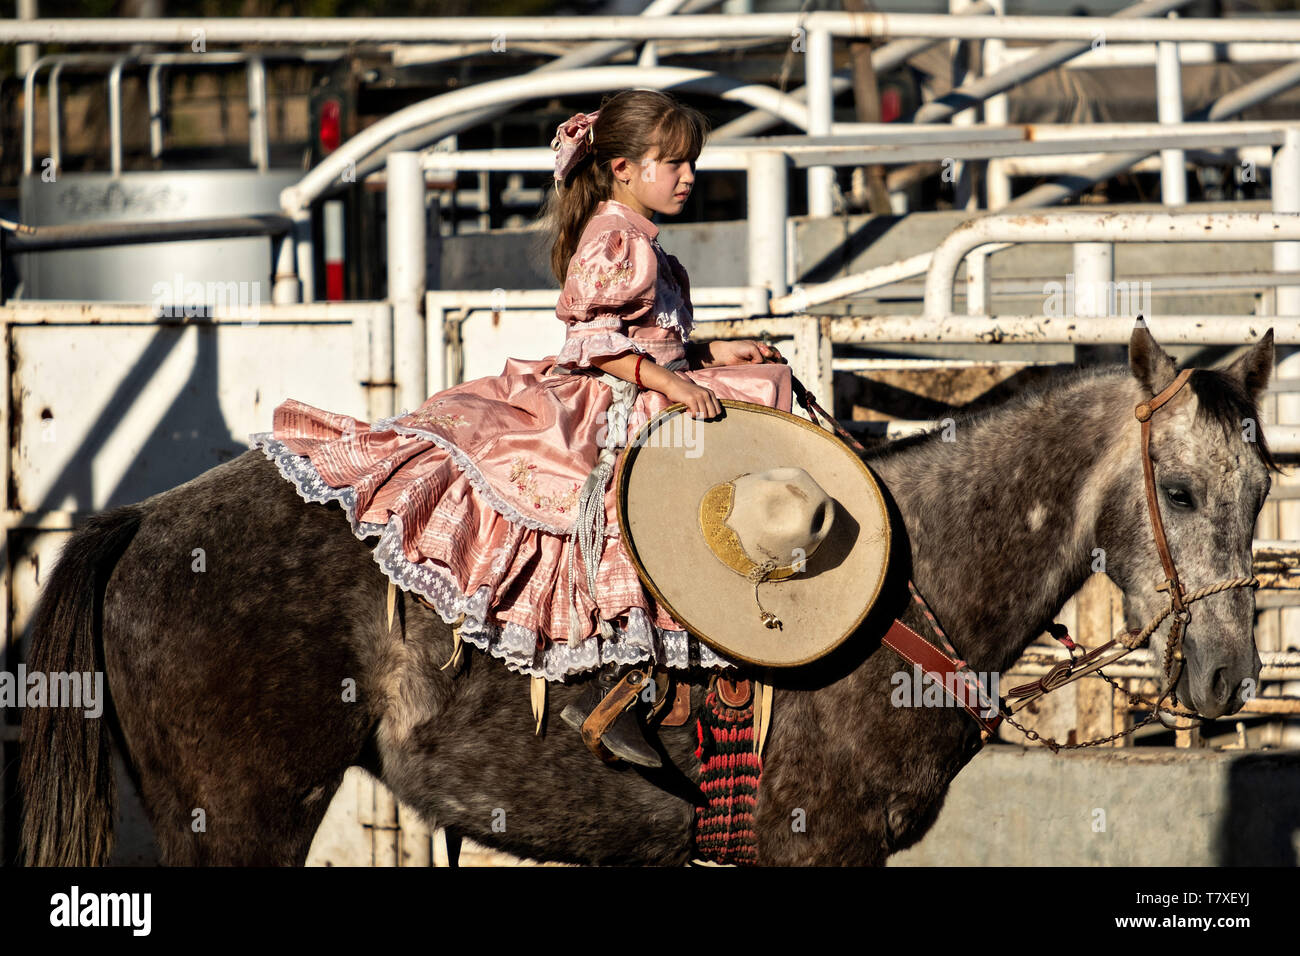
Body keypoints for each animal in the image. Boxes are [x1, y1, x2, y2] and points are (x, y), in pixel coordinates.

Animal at [20, 323, 1279, 868]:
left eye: (1265, 484)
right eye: (1175, 486)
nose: (1228, 675)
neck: (903, 591)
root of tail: (144, 523)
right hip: (238, 813)